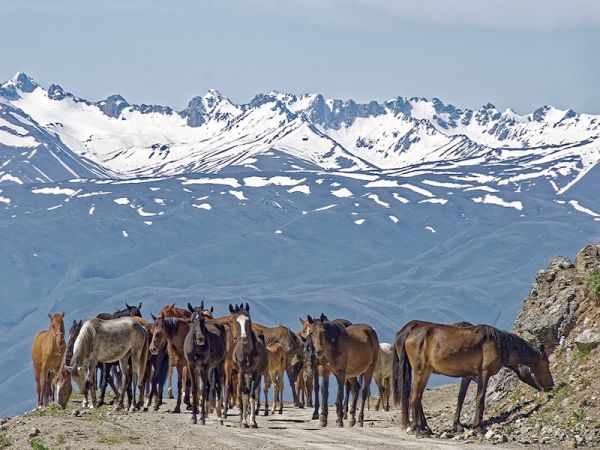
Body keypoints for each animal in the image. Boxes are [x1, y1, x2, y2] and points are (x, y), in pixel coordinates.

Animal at [392, 320, 556, 436]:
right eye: (546, 363)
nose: (551, 386)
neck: (499, 345)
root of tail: (409, 332)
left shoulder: (469, 375)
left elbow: (461, 397)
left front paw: (459, 425)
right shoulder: (484, 373)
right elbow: (480, 399)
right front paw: (477, 428)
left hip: (426, 372)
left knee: (417, 397)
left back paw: (422, 428)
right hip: (421, 371)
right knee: (414, 397)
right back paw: (418, 430)